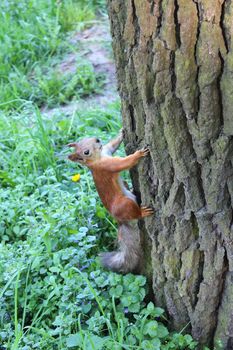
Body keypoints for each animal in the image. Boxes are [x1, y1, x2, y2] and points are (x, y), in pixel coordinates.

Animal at [67, 131, 153, 274]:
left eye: (86, 138)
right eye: (86, 152)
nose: (97, 139)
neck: (98, 158)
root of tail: (120, 221)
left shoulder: (107, 150)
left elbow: (112, 145)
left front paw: (121, 133)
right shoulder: (108, 166)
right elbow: (123, 163)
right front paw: (138, 154)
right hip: (123, 204)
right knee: (134, 213)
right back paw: (142, 212)